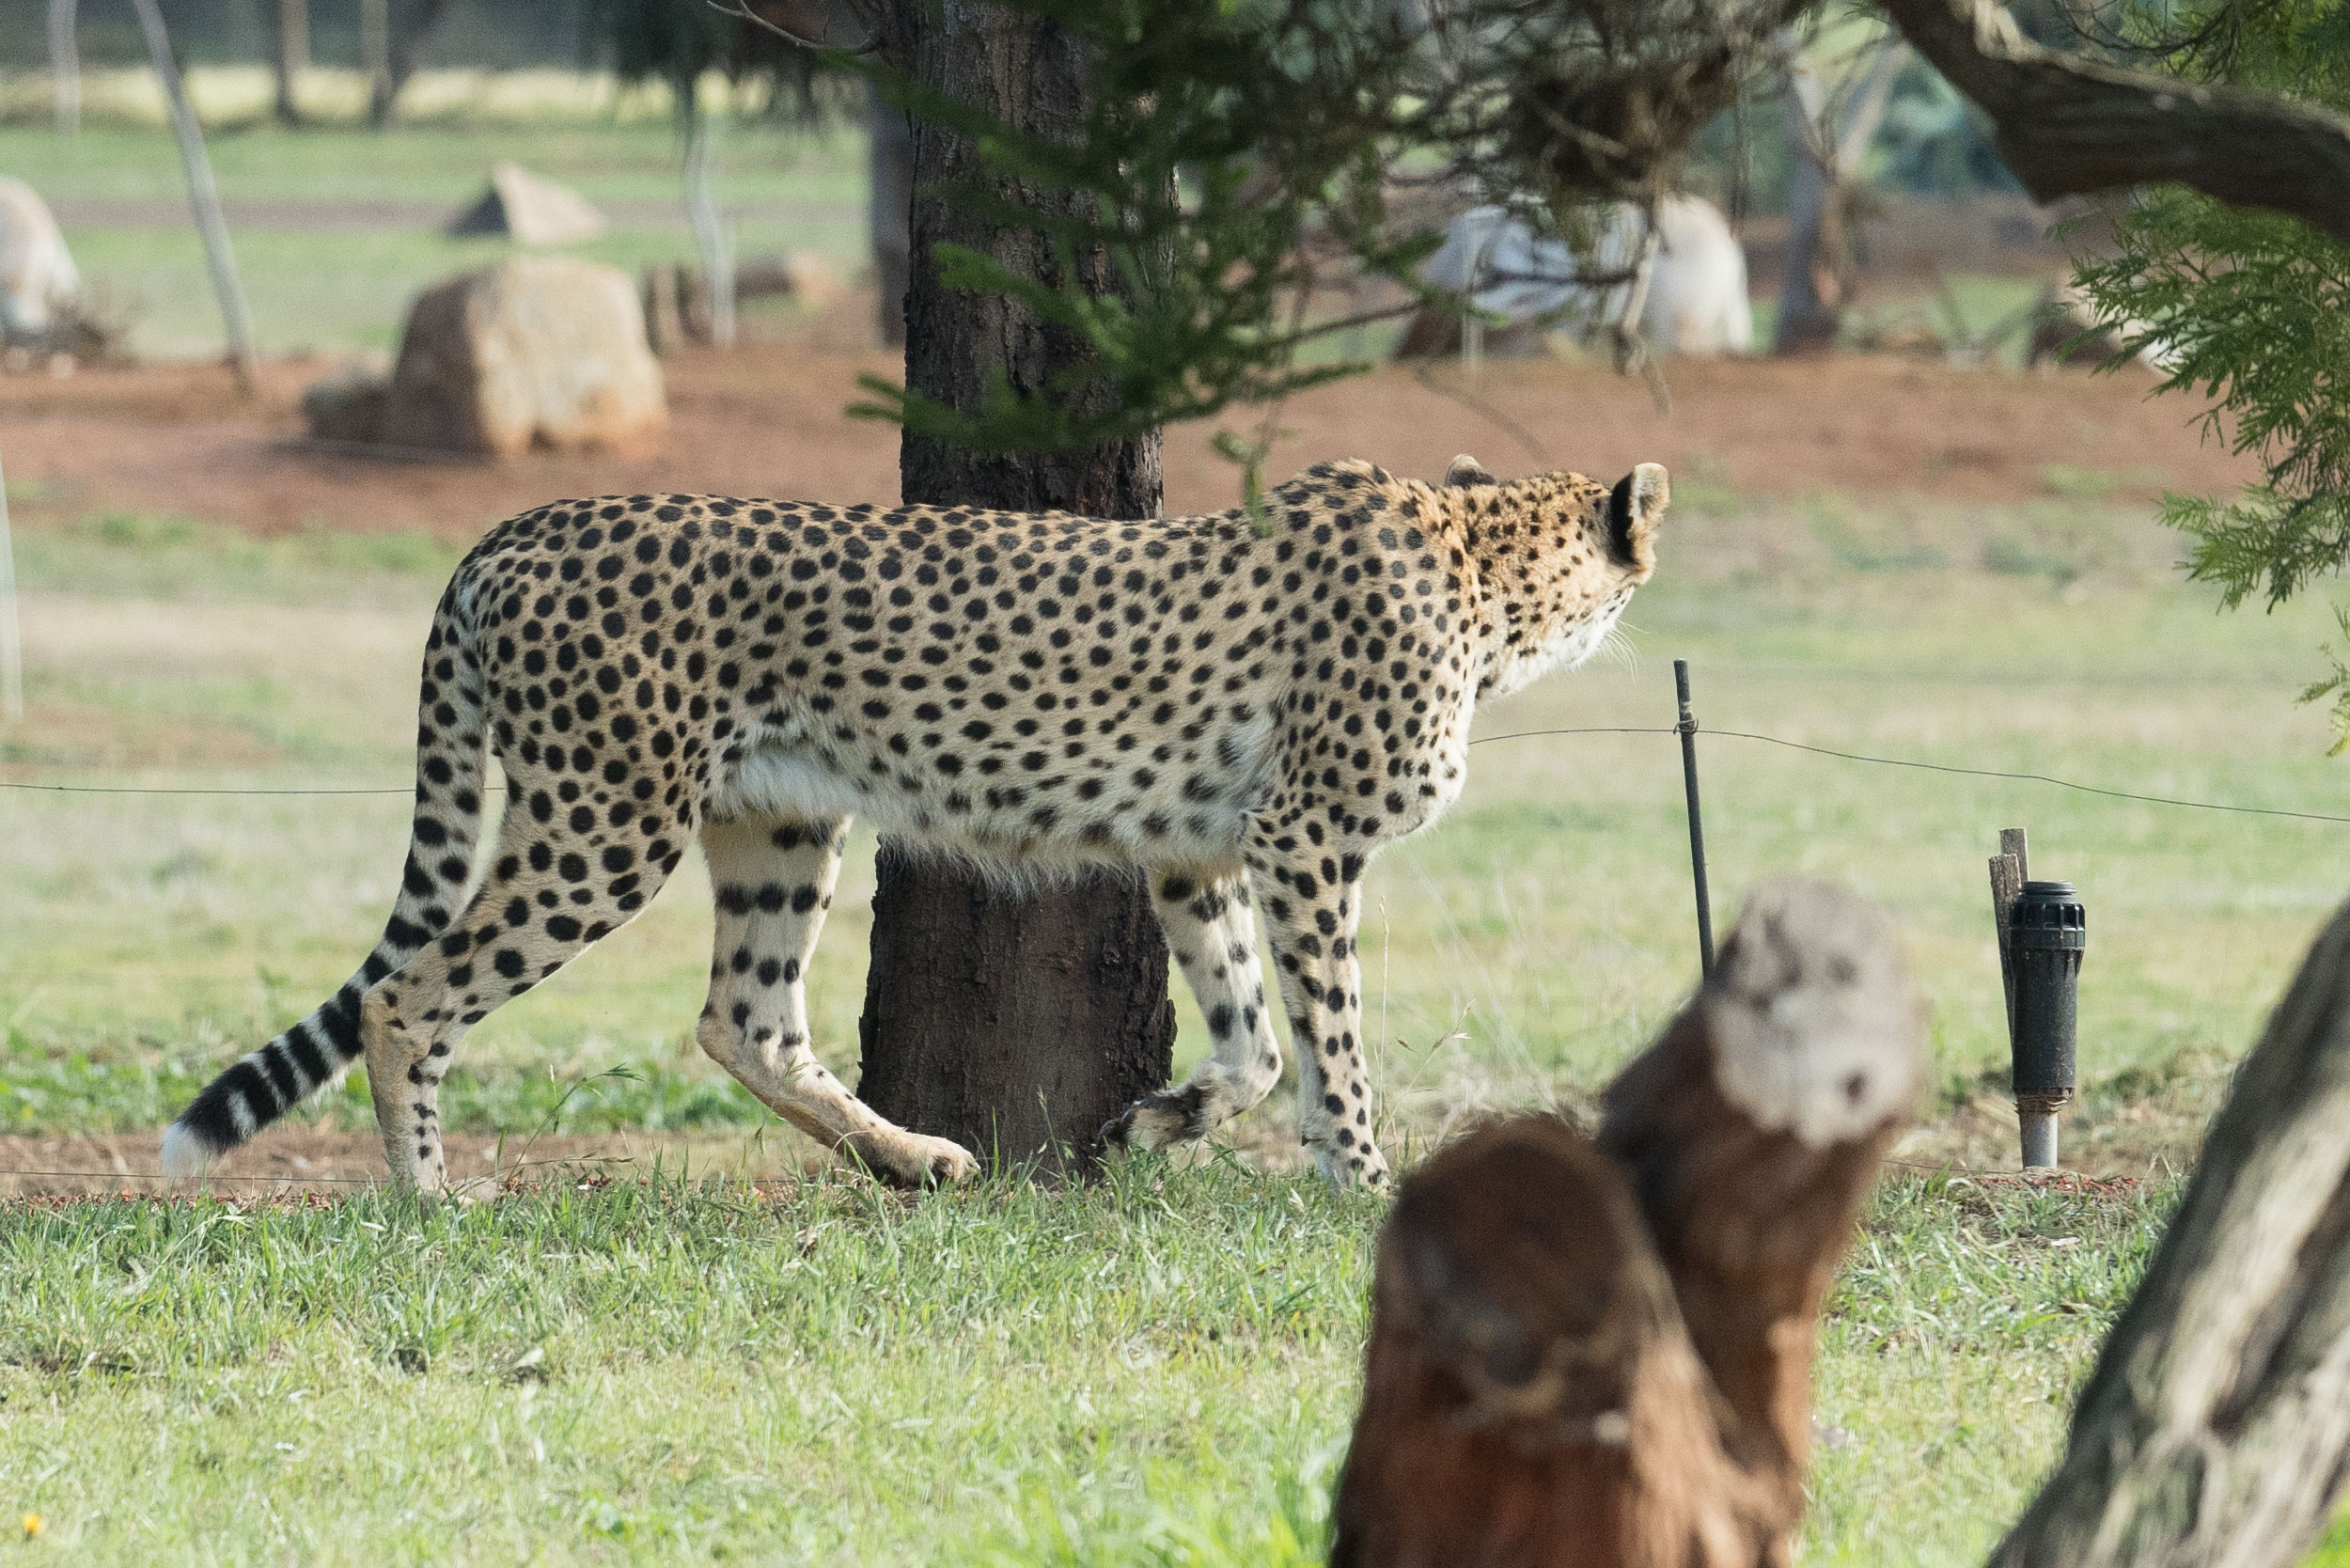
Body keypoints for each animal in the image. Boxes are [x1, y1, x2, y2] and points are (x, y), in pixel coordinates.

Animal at [161, 461, 1673, 1194]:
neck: (1480, 562)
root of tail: (522, 524)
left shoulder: (1197, 850)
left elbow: (1247, 1037)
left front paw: (1153, 1126)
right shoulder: (1303, 840)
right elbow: (1333, 1038)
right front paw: (1360, 1178)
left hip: (776, 818)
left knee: (742, 1020)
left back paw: (918, 1160)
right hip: (603, 820)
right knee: (406, 997)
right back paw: (427, 1198)